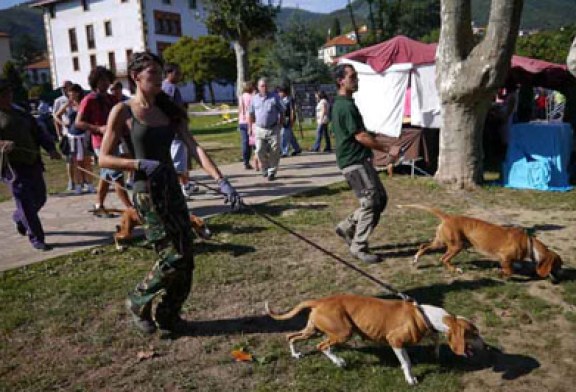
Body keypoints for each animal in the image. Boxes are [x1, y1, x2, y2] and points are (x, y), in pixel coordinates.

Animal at [268, 294, 484, 386]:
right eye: (474, 333)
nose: (485, 345)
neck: (425, 315)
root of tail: (320, 301)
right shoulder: (395, 341)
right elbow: (406, 362)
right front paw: (410, 379)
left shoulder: (429, 332)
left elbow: (436, 340)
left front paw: (437, 352)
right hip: (343, 332)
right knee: (323, 346)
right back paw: (339, 361)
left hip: (313, 330)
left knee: (291, 336)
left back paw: (296, 353)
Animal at [396, 205, 564, 282]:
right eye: (558, 266)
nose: (561, 278)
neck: (529, 243)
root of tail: (448, 217)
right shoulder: (504, 257)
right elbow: (509, 270)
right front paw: (502, 274)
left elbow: (513, 266)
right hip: (456, 246)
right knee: (443, 259)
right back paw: (456, 269)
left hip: (440, 242)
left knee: (423, 247)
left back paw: (415, 259)